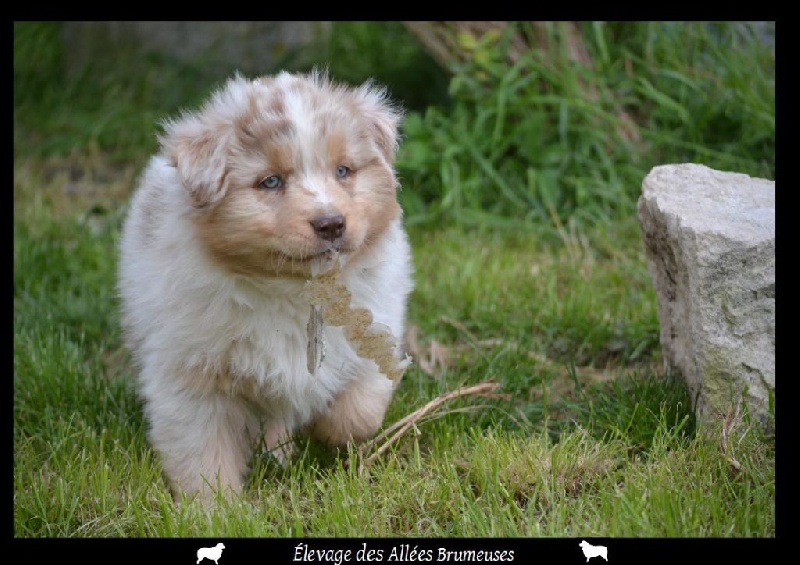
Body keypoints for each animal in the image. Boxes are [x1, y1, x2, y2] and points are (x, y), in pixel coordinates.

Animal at [119, 70, 412, 498]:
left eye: (343, 170)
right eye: (270, 181)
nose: (331, 223)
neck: (292, 289)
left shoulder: (378, 323)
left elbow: (360, 406)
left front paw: (327, 431)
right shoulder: (190, 375)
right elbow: (203, 453)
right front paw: (214, 507)